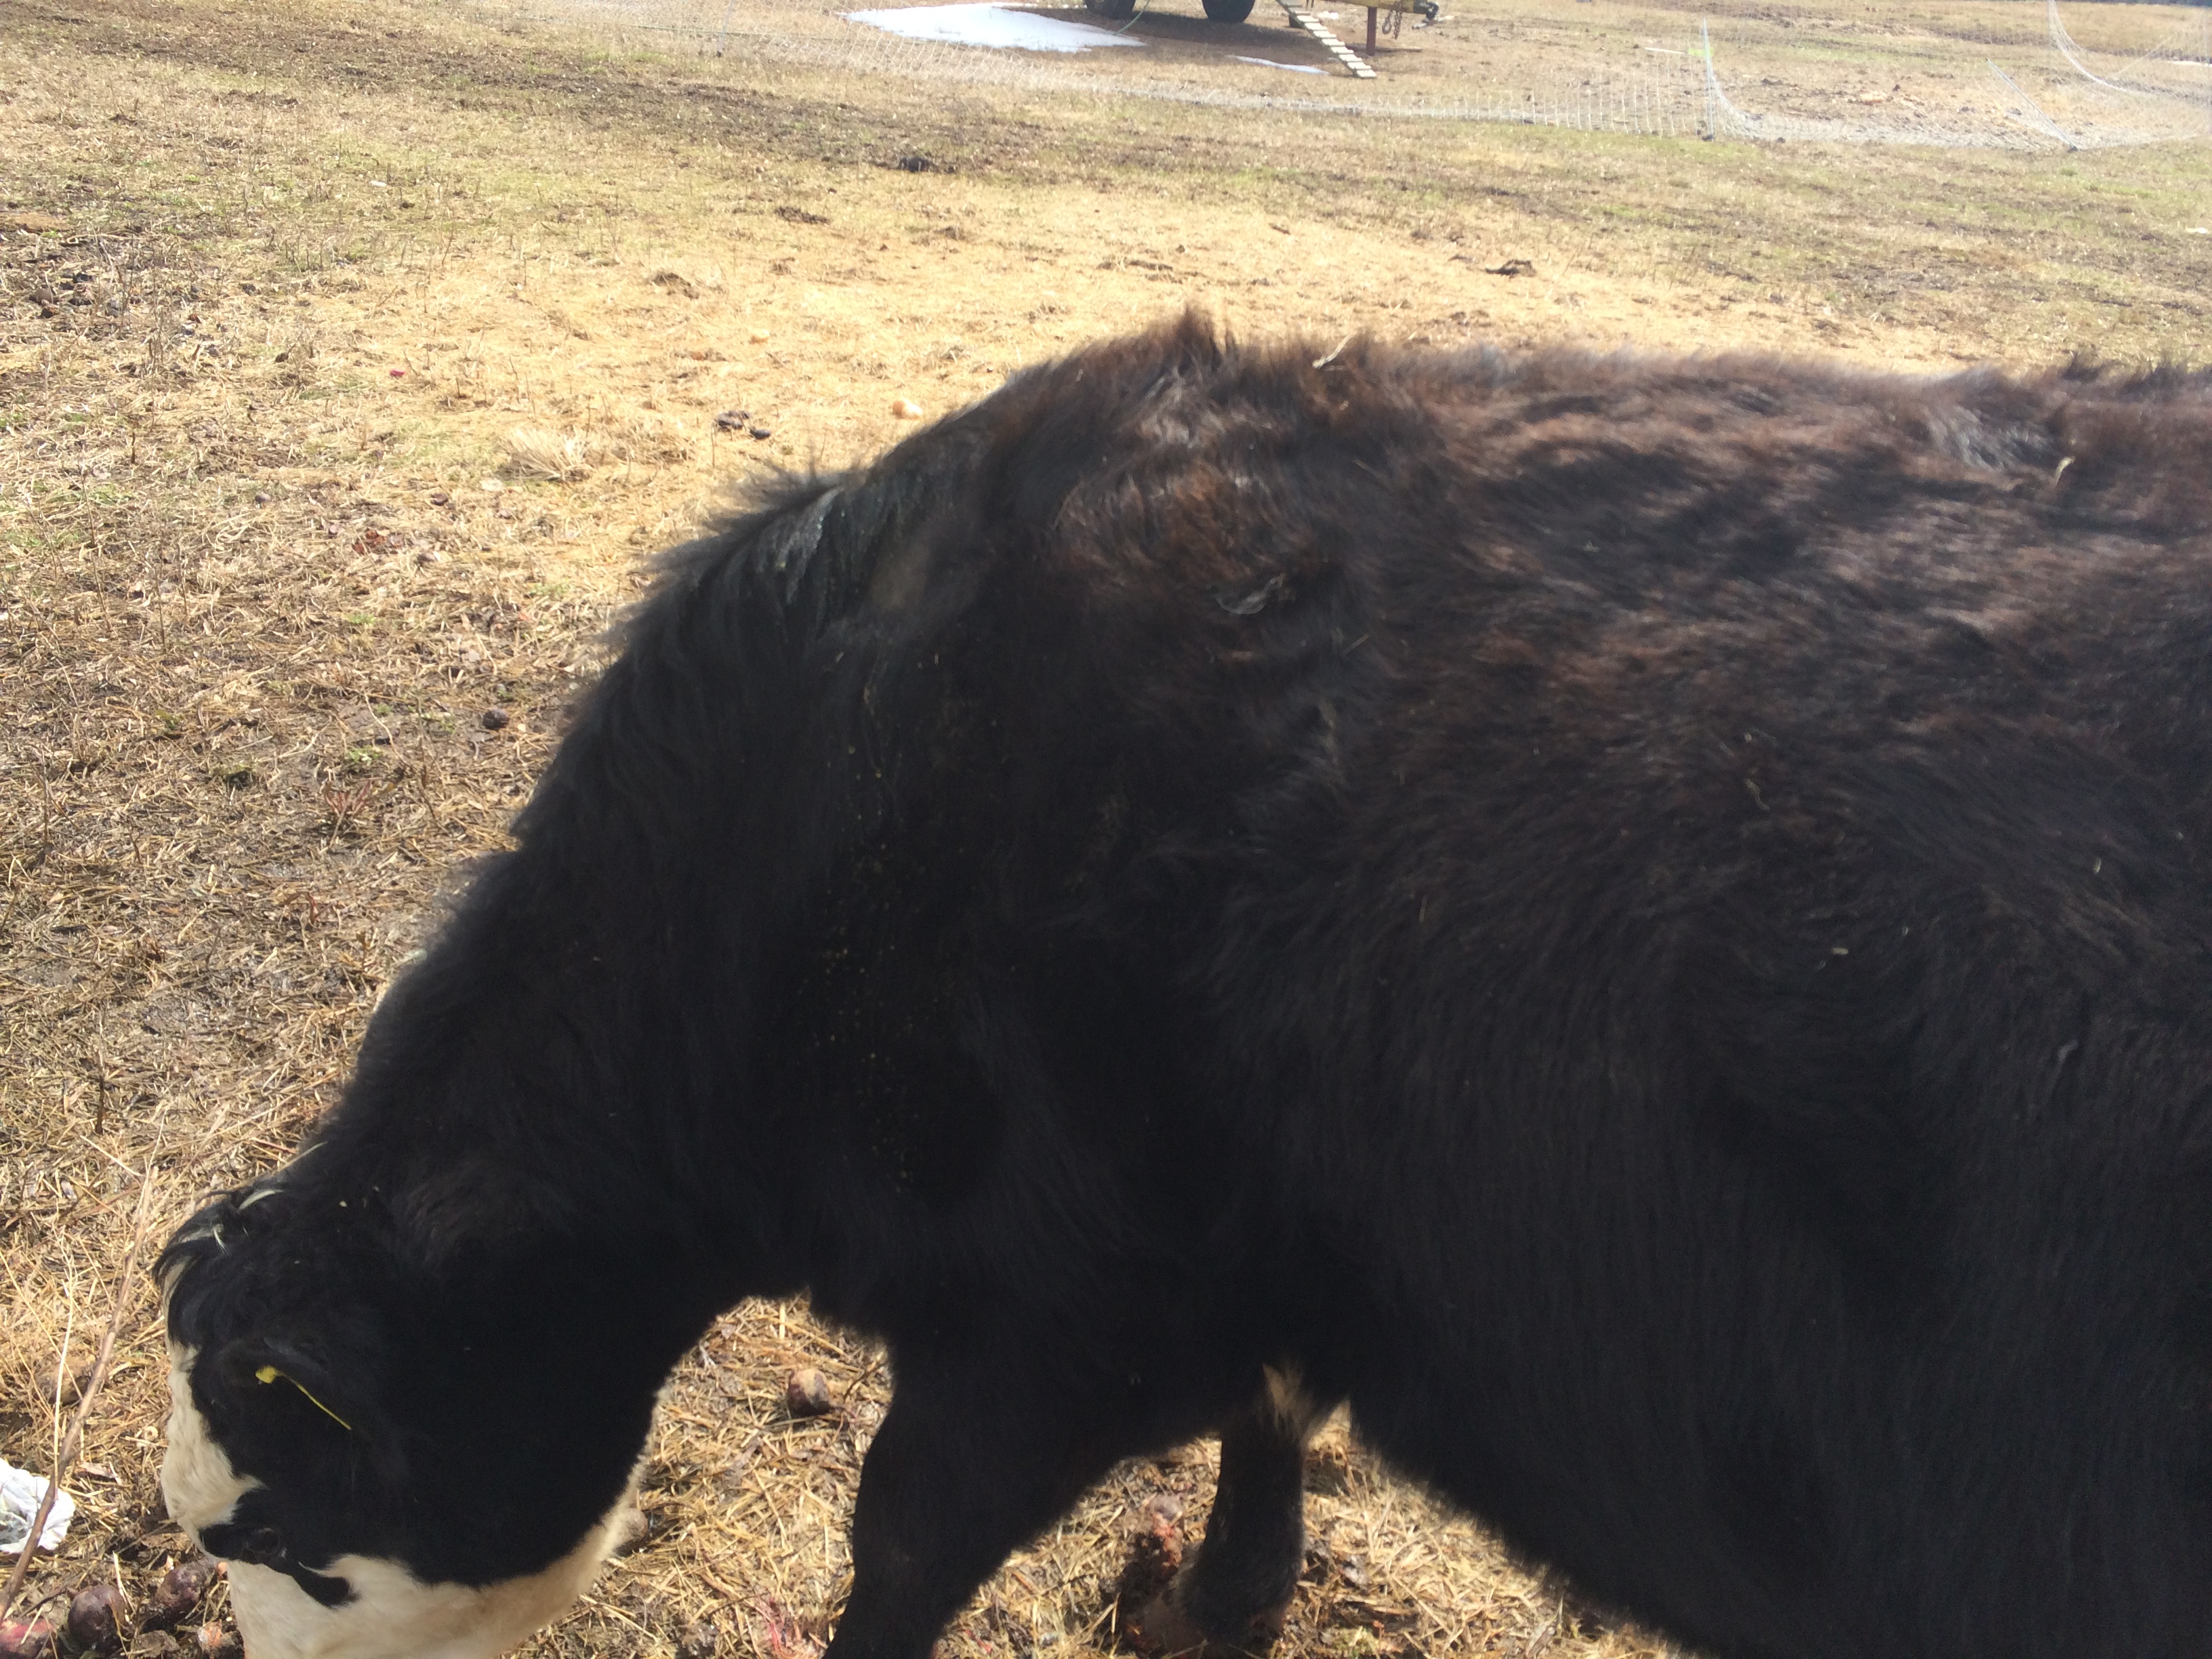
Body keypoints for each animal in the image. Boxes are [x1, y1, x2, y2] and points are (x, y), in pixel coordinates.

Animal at [160, 321, 2212, 1659]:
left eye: (289, 1529)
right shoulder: (1247, 1263)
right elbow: (1272, 1414)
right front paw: (1218, 1601)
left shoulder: (1068, 1305)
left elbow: (904, 1540)